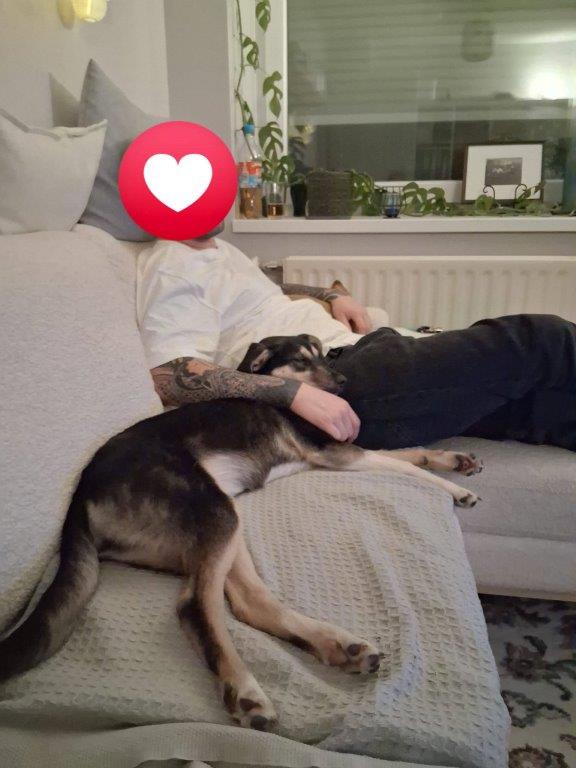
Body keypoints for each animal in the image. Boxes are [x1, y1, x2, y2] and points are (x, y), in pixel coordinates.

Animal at [0, 334, 482, 731]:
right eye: (301, 361)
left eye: (323, 353)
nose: (343, 381)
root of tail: (79, 498)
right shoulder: (335, 454)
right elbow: (406, 466)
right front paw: (455, 490)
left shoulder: (338, 452)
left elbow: (410, 453)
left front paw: (453, 460)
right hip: (215, 512)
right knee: (196, 604)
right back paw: (246, 691)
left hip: (219, 525)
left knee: (249, 602)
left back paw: (336, 646)